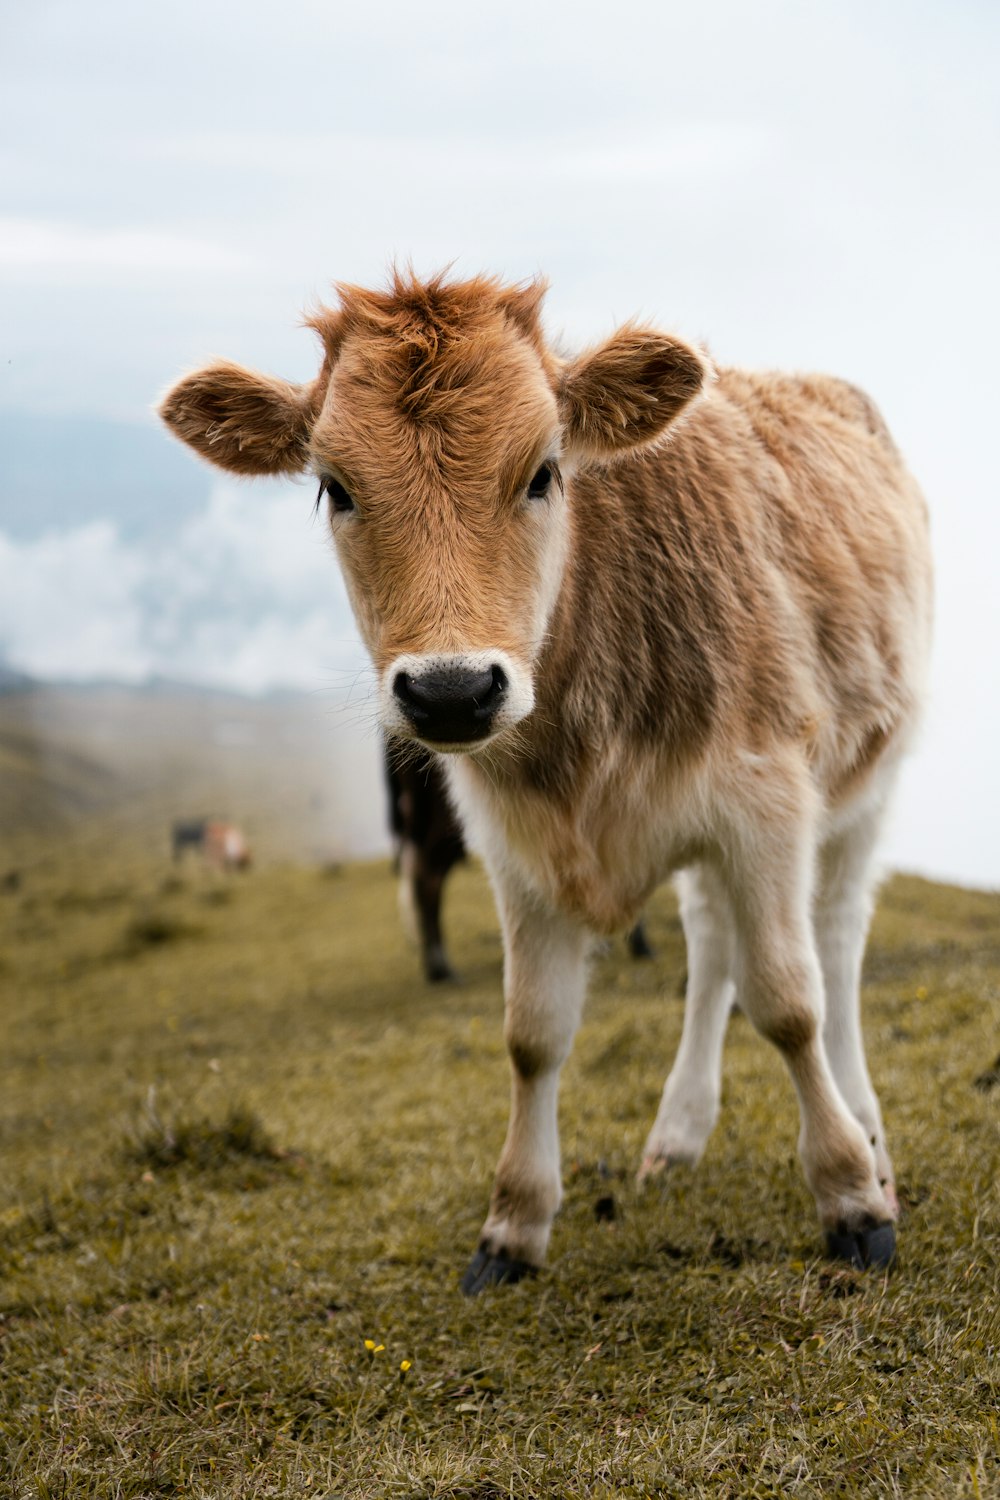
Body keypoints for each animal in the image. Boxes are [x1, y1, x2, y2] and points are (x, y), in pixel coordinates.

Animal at [160, 270, 935, 1290]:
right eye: (335, 487)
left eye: (543, 472)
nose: (451, 690)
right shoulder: (513, 843)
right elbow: (533, 1033)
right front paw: (514, 1223)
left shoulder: (766, 796)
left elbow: (789, 1001)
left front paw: (851, 1197)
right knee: (711, 941)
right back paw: (678, 1133)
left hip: (866, 780)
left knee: (835, 943)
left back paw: (867, 1127)